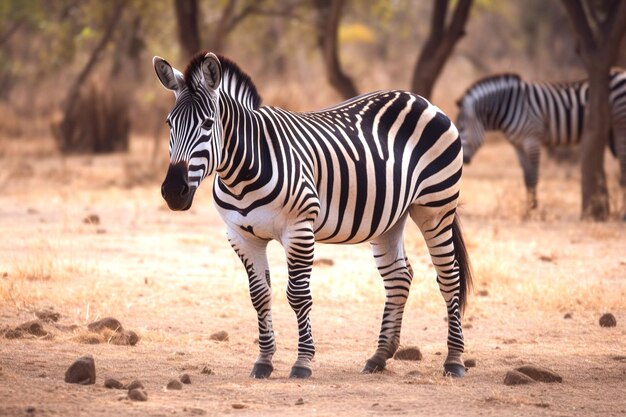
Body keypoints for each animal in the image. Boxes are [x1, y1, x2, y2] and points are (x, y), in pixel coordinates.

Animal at [154, 50, 470, 378]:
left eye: (207, 124)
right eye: (169, 123)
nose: (173, 191)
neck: (242, 171)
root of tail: (419, 98)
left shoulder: (299, 229)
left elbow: (297, 296)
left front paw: (302, 362)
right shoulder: (241, 236)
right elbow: (259, 296)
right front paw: (263, 361)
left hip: (436, 207)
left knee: (449, 277)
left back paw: (454, 360)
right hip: (390, 218)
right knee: (399, 277)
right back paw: (379, 356)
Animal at [454, 71, 624, 213]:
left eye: (461, 127)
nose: (464, 160)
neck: (508, 105)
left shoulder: (532, 140)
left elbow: (534, 176)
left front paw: (533, 209)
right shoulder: (518, 145)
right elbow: (527, 177)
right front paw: (529, 208)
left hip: (619, 121)